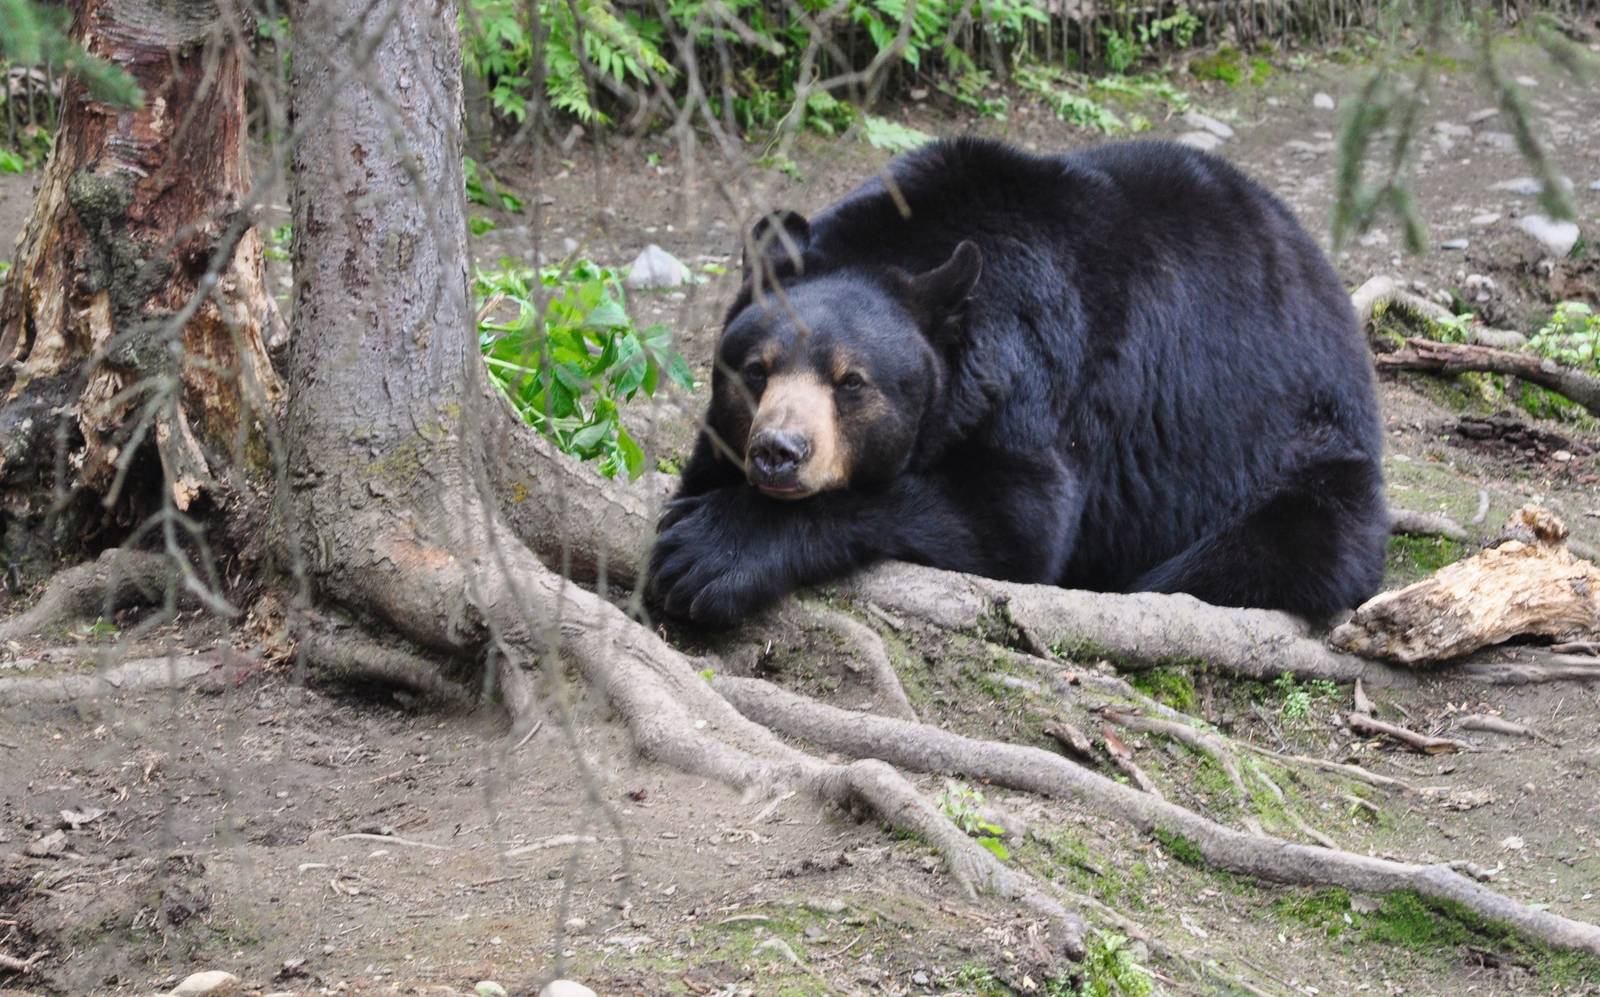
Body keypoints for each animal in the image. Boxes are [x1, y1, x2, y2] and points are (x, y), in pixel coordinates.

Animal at [648, 136, 1388, 627]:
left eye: (851, 381)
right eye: (755, 370)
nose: (779, 451)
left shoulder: (1040, 377)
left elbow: (1013, 517)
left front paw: (709, 553)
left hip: (1297, 450)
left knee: (1282, 546)